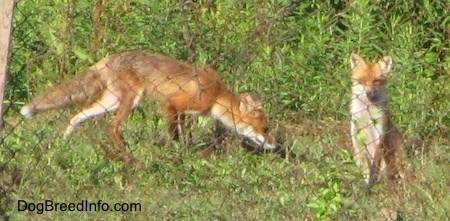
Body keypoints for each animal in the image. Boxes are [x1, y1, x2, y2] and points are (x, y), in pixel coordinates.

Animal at [22, 49, 278, 161]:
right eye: (265, 129)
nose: (276, 146)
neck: (216, 95)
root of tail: (108, 58)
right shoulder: (173, 104)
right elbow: (175, 135)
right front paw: (177, 154)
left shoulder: (183, 112)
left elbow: (184, 135)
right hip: (131, 100)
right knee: (113, 128)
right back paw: (129, 157)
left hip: (111, 102)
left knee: (77, 115)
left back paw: (63, 144)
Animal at [348, 53, 404, 188]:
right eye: (362, 80)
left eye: (376, 81)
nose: (369, 93)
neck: (367, 117)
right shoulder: (357, 140)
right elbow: (365, 170)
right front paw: (367, 185)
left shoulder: (378, 139)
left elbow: (374, 169)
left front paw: (371, 185)